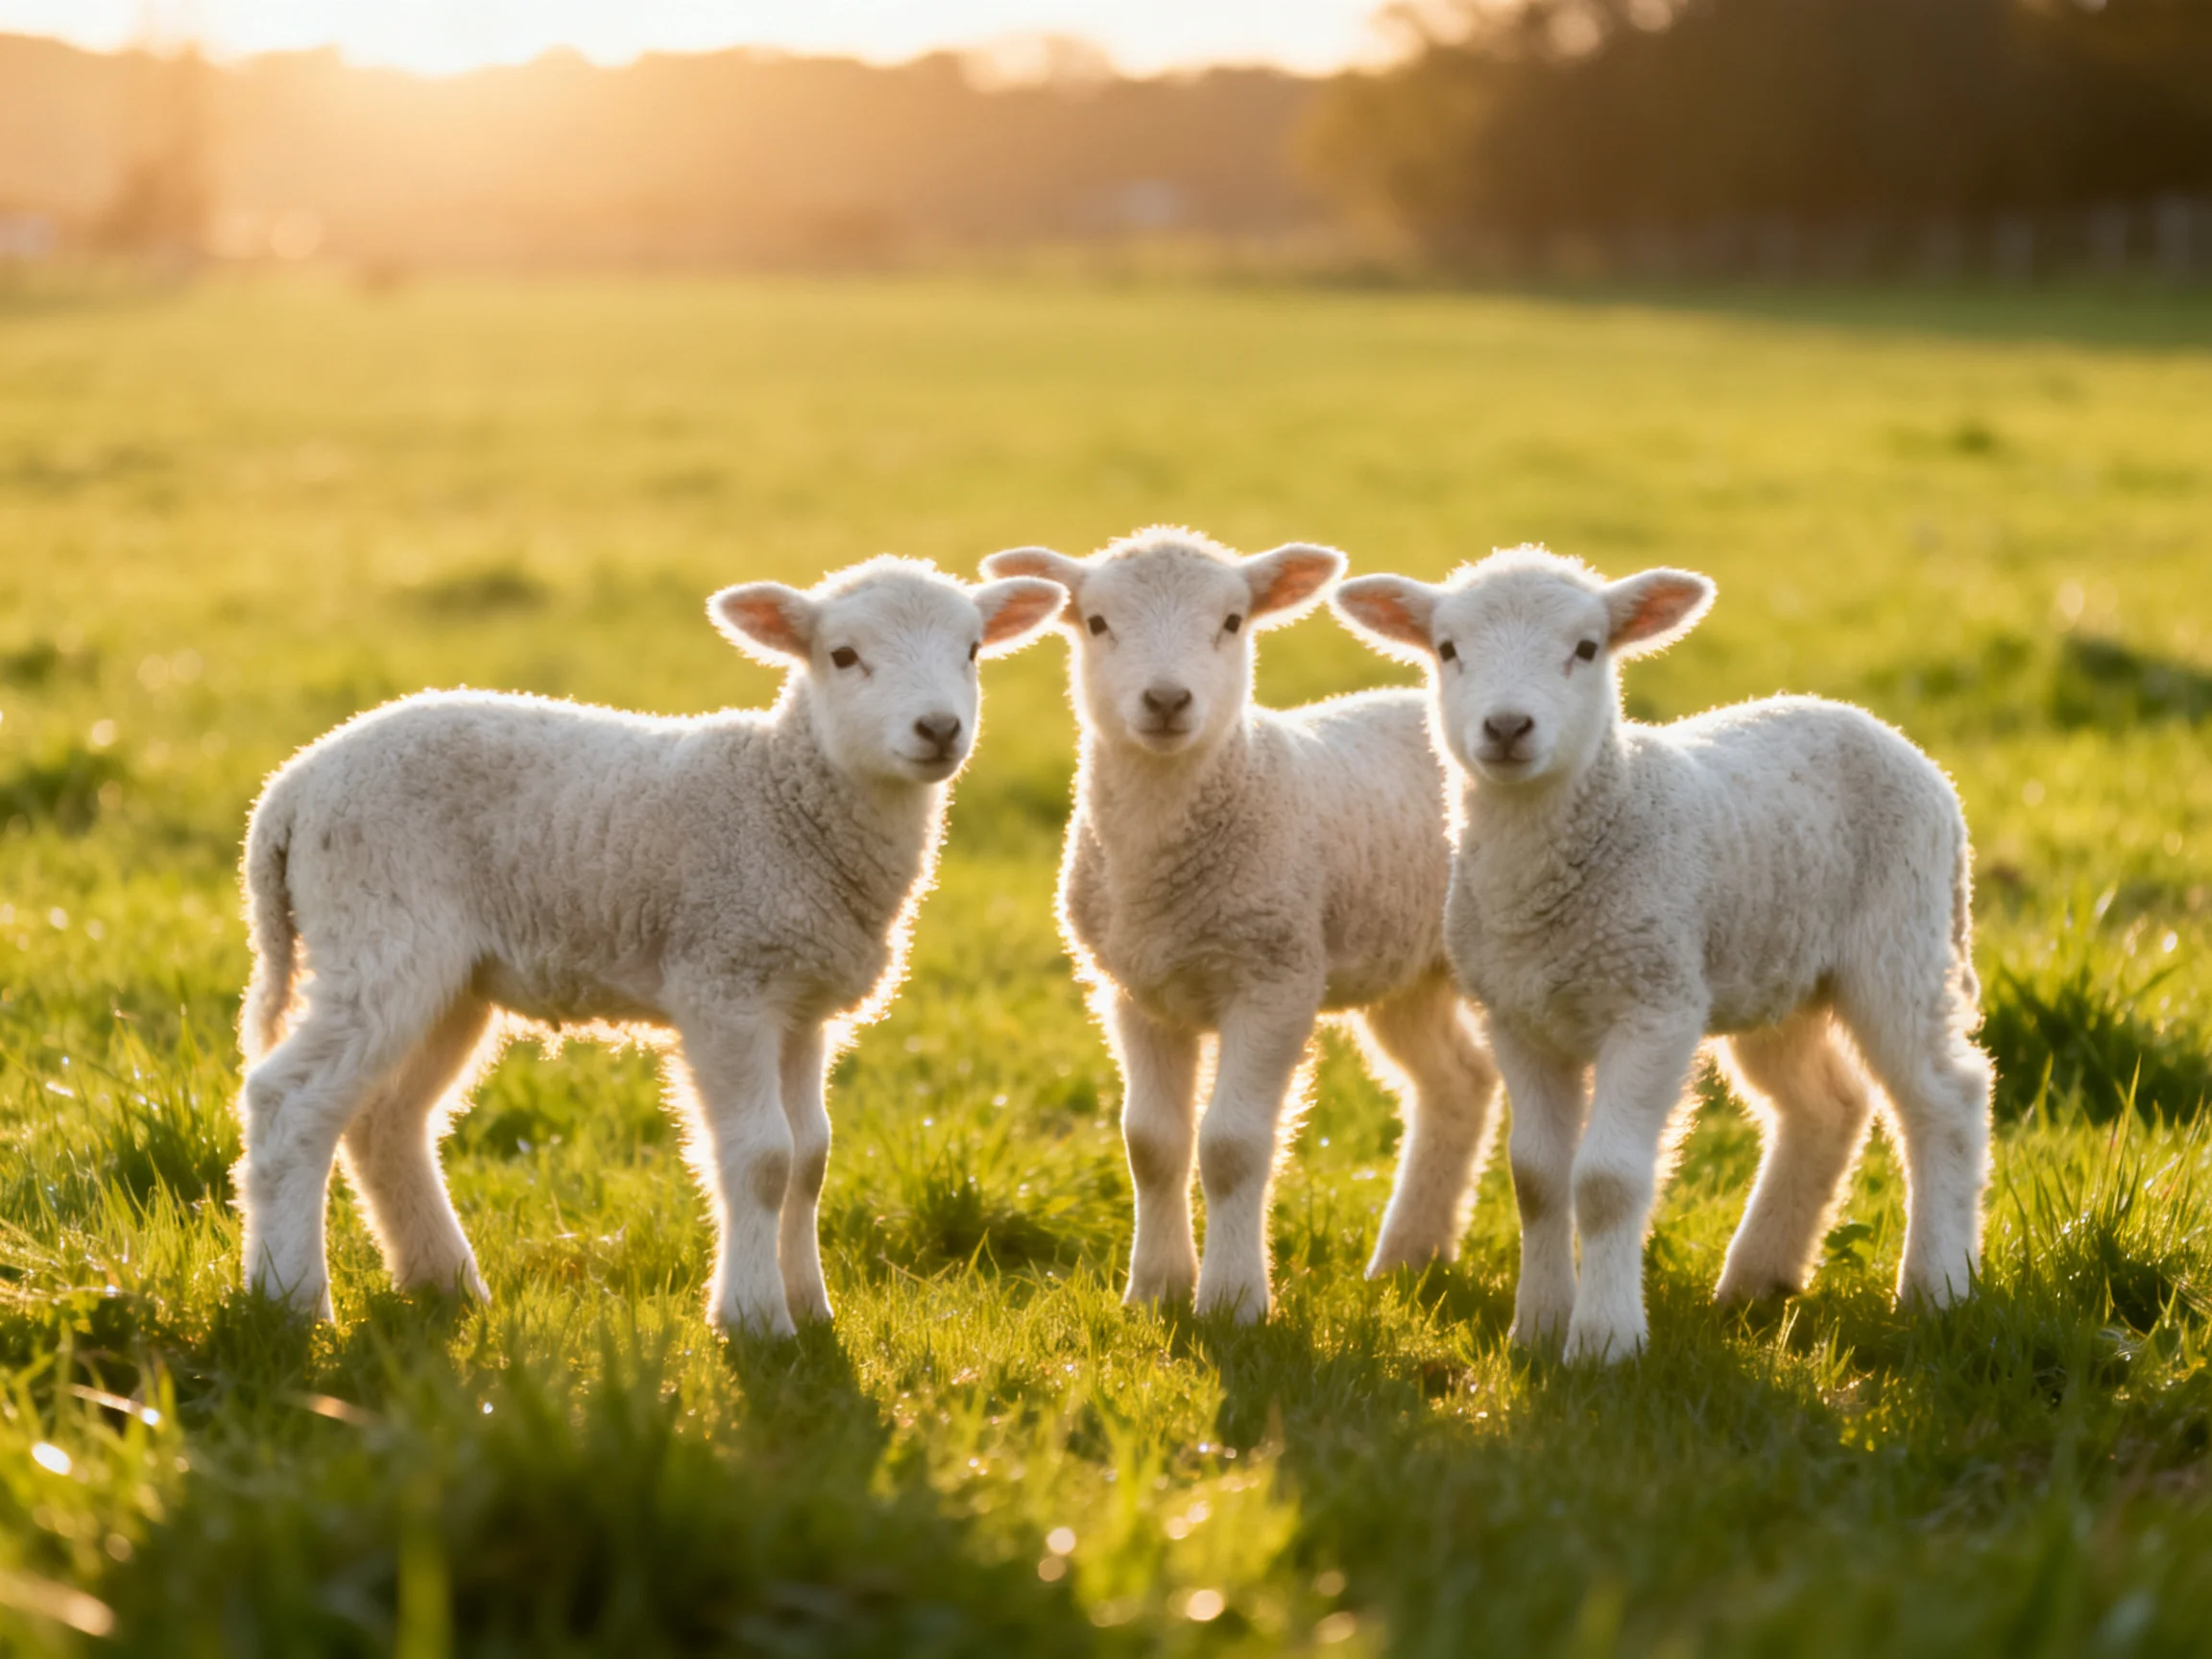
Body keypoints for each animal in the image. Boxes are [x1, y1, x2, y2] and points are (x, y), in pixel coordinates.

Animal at [233, 557, 1065, 1337]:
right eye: (843, 655)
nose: (938, 729)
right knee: (289, 1102)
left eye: (972, 650)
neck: (786, 801)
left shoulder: (800, 1003)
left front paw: (811, 1308)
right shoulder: (725, 980)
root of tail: (290, 790)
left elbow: (810, 1158)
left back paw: (445, 1282)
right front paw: (756, 1320)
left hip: (448, 977)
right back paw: (290, 1300)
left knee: (385, 1122)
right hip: (378, 929)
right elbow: (763, 1158)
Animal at [981, 526, 1504, 1324]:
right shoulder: (1135, 990)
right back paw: (1410, 1255)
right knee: (1459, 1080)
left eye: (1231, 622)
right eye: (1097, 622)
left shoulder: (1274, 977)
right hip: (1406, 967)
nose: (1167, 699)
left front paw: (1232, 1302)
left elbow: (1230, 1146)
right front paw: (1156, 1289)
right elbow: (1151, 1143)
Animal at [1333, 546, 1993, 1362]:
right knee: (1826, 1104)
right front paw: (1538, 1328)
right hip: (1770, 969)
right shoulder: (1519, 1016)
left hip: (1898, 942)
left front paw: (1604, 1340)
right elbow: (1537, 1179)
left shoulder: (1653, 1006)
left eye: (1587, 649)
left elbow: (1607, 1180)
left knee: (1944, 1098)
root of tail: (1889, 736)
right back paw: (1758, 1279)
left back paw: (1937, 1285)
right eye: (1448, 649)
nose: (1508, 726)